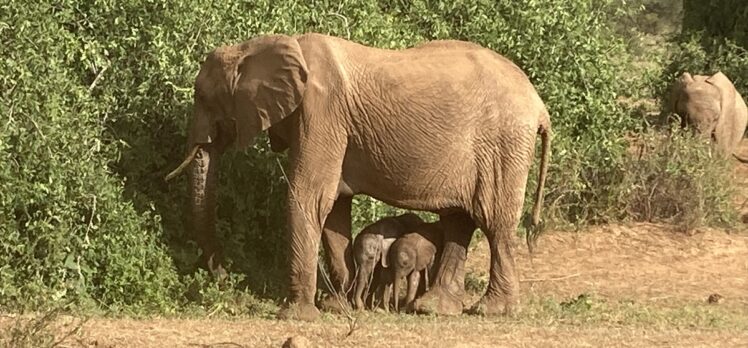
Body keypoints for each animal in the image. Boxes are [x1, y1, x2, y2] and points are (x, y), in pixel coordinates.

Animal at [167, 32, 552, 320]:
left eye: (203, 96)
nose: (221, 276)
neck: (263, 46)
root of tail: (539, 105)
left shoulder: (322, 111)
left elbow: (307, 195)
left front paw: (296, 316)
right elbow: (335, 206)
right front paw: (339, 308)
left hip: (503, 144)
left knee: (494, 221)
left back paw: (492, 310)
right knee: (459, 219)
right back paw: (434, 309)